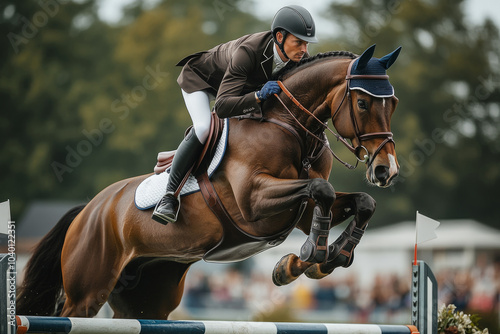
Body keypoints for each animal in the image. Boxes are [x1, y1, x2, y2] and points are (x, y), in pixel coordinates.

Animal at [17, 43, 402, 318]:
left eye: (393, 103)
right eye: (363, 103)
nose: (387, 171)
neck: (291, 129)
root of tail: (88, 211)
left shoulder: (304, 213)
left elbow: (360, 202)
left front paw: (319, 260)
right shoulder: (254, 202)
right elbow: (321, 190)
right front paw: (311, 256)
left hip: (147, 298)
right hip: (86, 291)